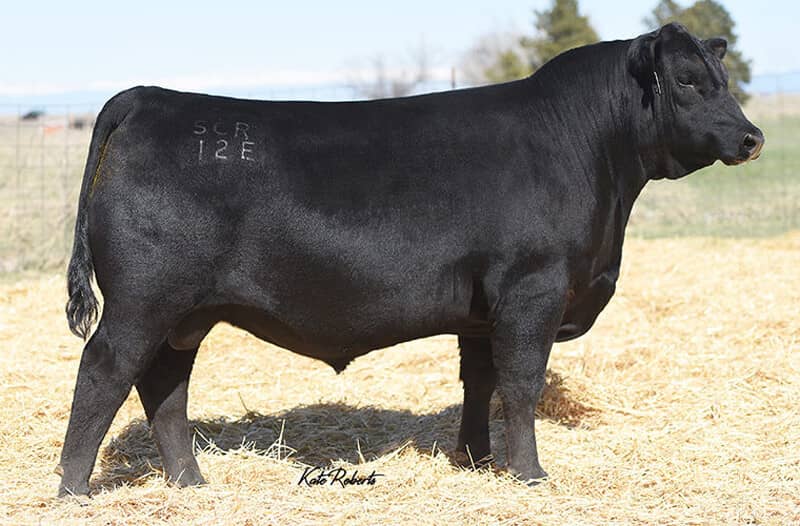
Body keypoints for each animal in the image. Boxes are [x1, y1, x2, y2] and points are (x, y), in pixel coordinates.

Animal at [57, 23, 763, 496]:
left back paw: (191, 482)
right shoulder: (533, 288)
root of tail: (149, 97)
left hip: (186, 313)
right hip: (143, 300)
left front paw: (477, 461)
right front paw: (530, 474)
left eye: (723, 80)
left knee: (164, 385)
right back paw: (74, 490)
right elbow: (521, 383)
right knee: (104, 371)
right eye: (686, 80)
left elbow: (480, 380)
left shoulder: (482, 310)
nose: (752, 137)